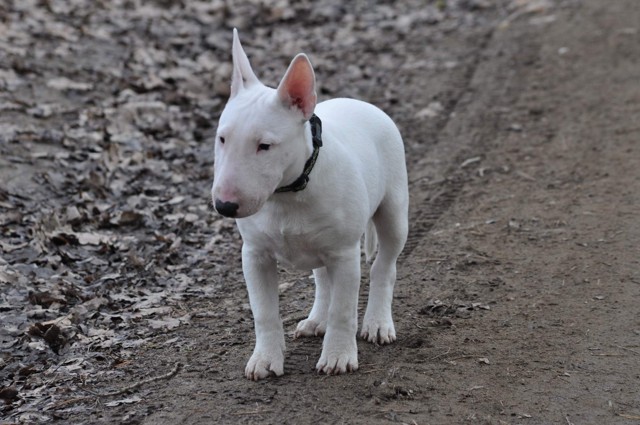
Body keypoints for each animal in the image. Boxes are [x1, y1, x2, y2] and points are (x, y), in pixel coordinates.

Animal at [211, 29, 408, 380]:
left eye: (265, 146)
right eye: (222, 138)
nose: (224, 206)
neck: (286, 193)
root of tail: (361, 103)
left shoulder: (345, 255)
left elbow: (343, 310)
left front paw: (339, 356)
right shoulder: (254, 256)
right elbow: (264, 312)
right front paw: (265, 359)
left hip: (394, 212)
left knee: (384, 266)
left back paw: (377, 323)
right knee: (322, 279)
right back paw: (317, 319)